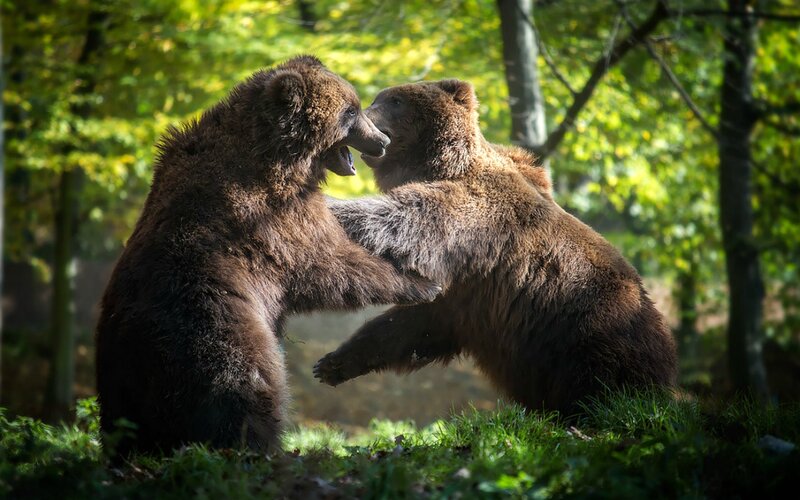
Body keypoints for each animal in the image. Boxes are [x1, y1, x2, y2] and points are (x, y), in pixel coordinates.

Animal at [94, 56, 441, 457]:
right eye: (351, 111)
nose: (381, 141)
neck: (279, 157)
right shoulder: (270, 217)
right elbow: (329, 264)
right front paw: (421, 283)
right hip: (216, 323)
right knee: (245, 384)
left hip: (122, 374)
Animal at [313, 79, 678, 418]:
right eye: (379, 99)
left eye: (395, 101)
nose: (363, 117)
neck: (441, 163)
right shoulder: (463, 295)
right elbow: (411, 326)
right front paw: (332, 364)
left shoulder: (477, 219)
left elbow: (406, 218)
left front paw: (333, 206)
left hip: (587, 328)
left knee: (601, 381)